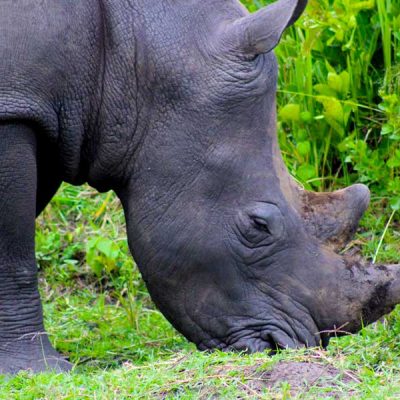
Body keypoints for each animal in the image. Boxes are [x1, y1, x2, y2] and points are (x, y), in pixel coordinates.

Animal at [0, 0, 400, 374]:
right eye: (258, 226)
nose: (287, 348)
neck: (134, 55)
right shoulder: (15, 105)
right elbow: (13, 253)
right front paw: (35, 369)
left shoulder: (49, 112)